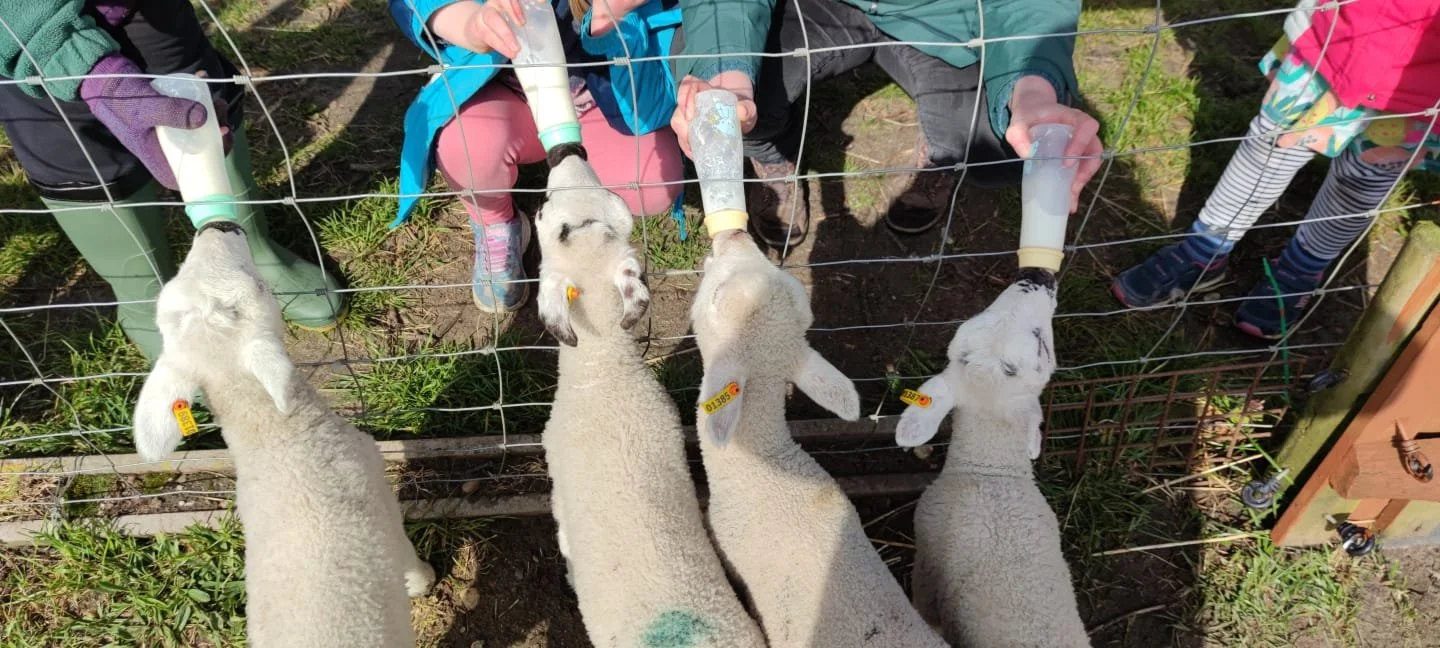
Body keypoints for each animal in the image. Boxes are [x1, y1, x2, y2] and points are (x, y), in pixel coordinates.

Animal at [130, 221, 434, 648]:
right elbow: (408, 560)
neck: (277, 439)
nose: (216, 225)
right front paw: (424, 582)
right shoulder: (380, 499)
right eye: (259, 286)